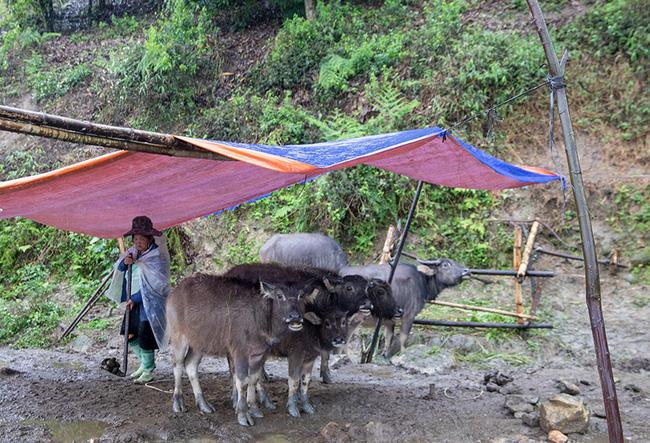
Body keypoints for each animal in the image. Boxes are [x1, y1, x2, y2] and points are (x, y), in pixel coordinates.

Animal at [163, 274, 312, 426]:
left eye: (301, 295)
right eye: (279, 295)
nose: (295, 317)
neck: (261, 320)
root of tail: (174, 292)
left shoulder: (257, 355)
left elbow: (253, 379)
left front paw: (254, 409)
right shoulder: (240, 353)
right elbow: (242, 381)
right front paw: (243, 414)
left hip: (199, 343)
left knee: (190, 365)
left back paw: (204, 404)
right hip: (178, 337)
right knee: (177, 365)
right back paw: (178, 404)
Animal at [336, 260, 468, 358]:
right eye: (446, 264)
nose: (467, 271)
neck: (421, 281)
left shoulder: (390, 320)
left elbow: (389, 336)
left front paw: (385, 354)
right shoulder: (409, 315)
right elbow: (403, 337)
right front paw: (403, 353)